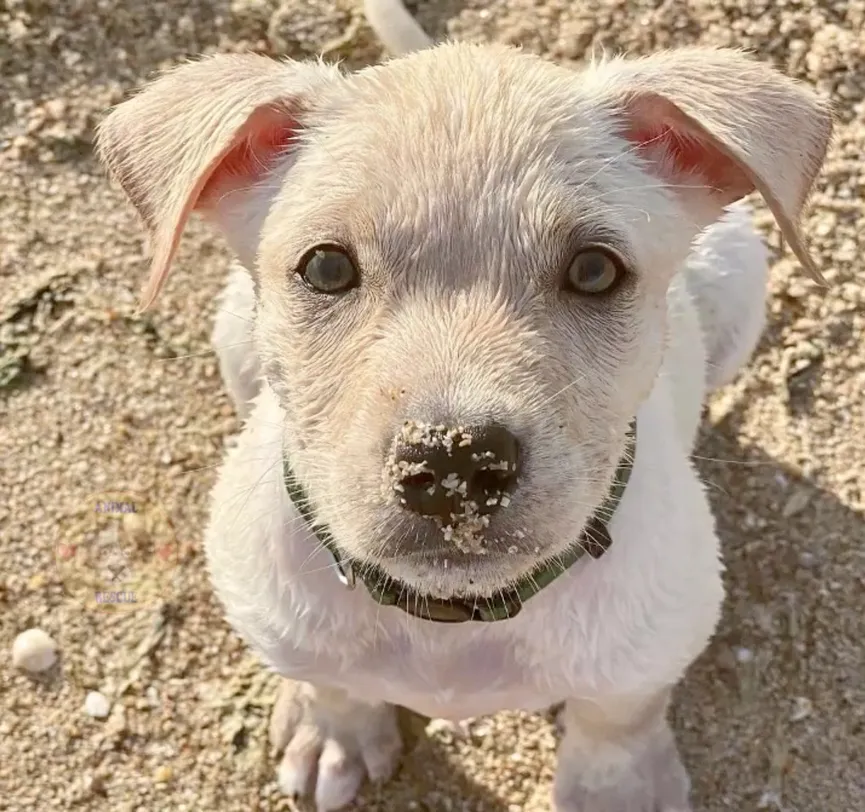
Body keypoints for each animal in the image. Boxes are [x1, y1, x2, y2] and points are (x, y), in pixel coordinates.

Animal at [96, 4, 832, 804]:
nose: (455, 464)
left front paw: (615, 790)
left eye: (595, 270)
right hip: (232, 334)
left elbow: (618, 715)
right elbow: (331, 680)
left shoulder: (659, 638)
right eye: (325, 267)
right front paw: (333, 733)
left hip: (741, 274)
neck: (452, 623)